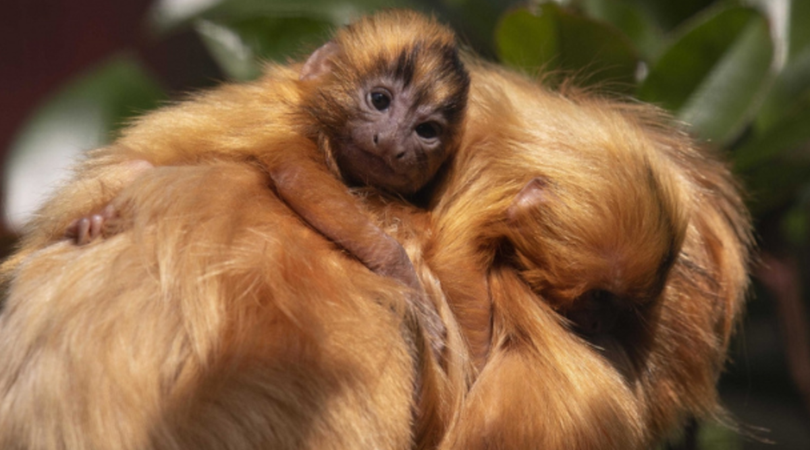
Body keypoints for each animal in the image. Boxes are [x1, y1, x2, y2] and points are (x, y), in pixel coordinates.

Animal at [63, 10, 468, 358]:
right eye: (380, 100)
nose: (391, 142)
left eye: (426, 131)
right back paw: (97, 219)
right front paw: (407, 282)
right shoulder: (286, 124)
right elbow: (299, 180)